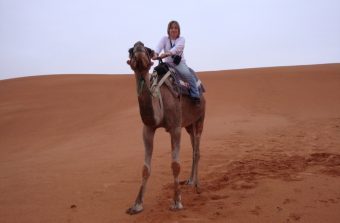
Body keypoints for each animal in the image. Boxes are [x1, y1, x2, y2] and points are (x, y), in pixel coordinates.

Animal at [125, 41, 205, 214]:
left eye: (148, 50)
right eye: (130, 50)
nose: (139, 45)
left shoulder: (175, 128)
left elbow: (175, 165)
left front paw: (177, 202)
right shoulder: (148, 128)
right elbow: (145, 168)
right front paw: (137, 204)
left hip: (200, 118)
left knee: (197, 150)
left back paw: (197, 184)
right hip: (189, 124)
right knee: (194, 146)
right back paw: (190, 180)